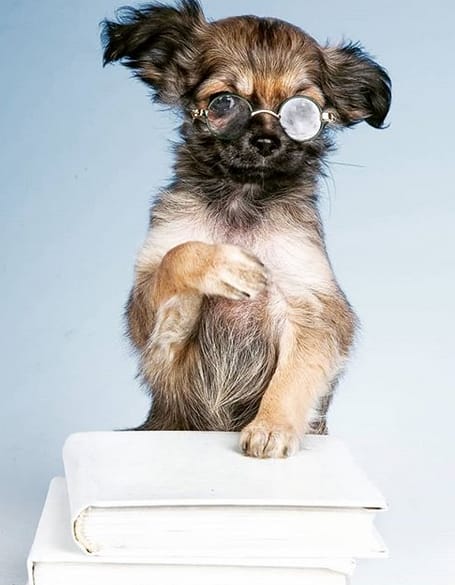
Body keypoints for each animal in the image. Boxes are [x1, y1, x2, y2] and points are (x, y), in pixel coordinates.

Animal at [101, 0, 391, 458]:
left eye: (302, 113)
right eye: (223, 104)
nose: (267, 142)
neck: (242, 196)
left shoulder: (314, 306)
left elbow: (294, 375)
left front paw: (272, 426)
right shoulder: (153, 319)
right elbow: (177, 254)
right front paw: (221, 265)